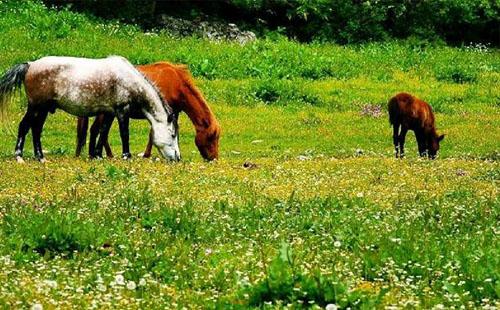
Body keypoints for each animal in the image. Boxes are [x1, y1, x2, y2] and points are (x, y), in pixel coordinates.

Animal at [0, 56, 180, 162]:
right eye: (172, 135)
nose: (178, 158)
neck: (130, 81)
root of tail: (30, 65)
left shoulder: (109, 113)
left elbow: (103, 131)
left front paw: (98, 155)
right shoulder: (122, 111)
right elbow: (124, 134)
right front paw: (126, 156)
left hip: (43, 110)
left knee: (36, 129)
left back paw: (40, 157)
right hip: (36, 107)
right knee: (24, 126)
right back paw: (19, 156)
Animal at [75, 62, 220, 161]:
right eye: (211, 137)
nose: (214, 158)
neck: (176, 84)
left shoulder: (173, 114)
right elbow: (152, 134)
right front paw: (147, 154)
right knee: (96, 130)